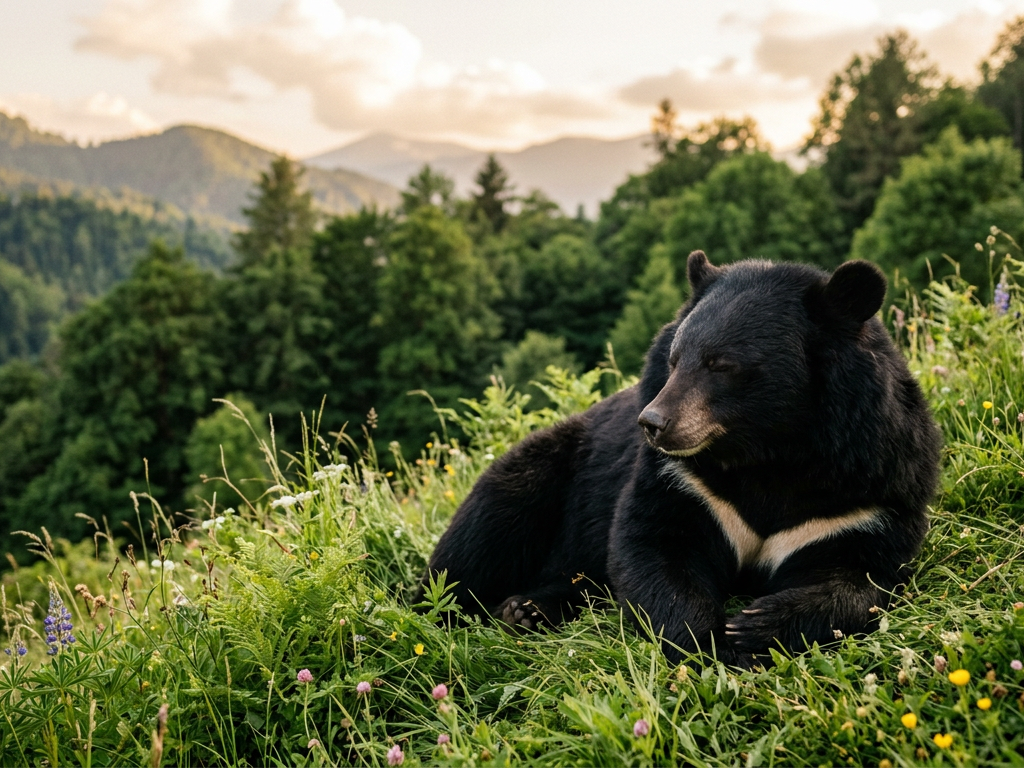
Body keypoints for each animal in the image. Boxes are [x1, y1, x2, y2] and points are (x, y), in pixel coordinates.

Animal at [423, 251, 942, 666]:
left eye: (722, 365)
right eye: (674, 360)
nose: (653, 423)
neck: (770, 451)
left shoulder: (868, 492)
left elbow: (863, 577)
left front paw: (755, 625)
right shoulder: (685, 481)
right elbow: (653, 546)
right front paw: (711, 640)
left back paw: (527, 609)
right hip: (544, 469)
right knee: (482, 536)